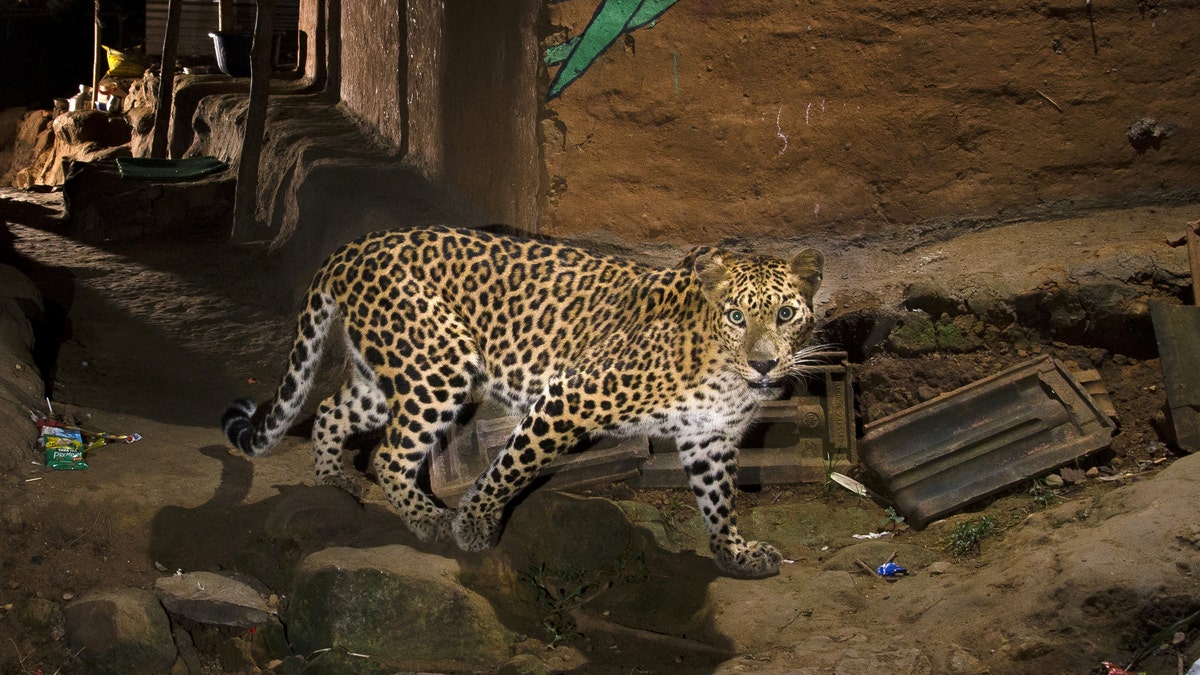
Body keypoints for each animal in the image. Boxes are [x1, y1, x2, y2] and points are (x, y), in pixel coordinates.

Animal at [223, 223, 825, 576]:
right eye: (737, 315)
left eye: (786, 314)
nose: (764, 364)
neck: (725, 372)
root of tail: (353, 247)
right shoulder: (572, 394)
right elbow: (509, 466)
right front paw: (472, 525)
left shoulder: (710, 437)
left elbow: (719, 499)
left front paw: (734, 552)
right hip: (441, 363)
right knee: (391, 454)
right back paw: (428, 518)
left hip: (390, 374)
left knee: (330, 412)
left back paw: (333, 480)